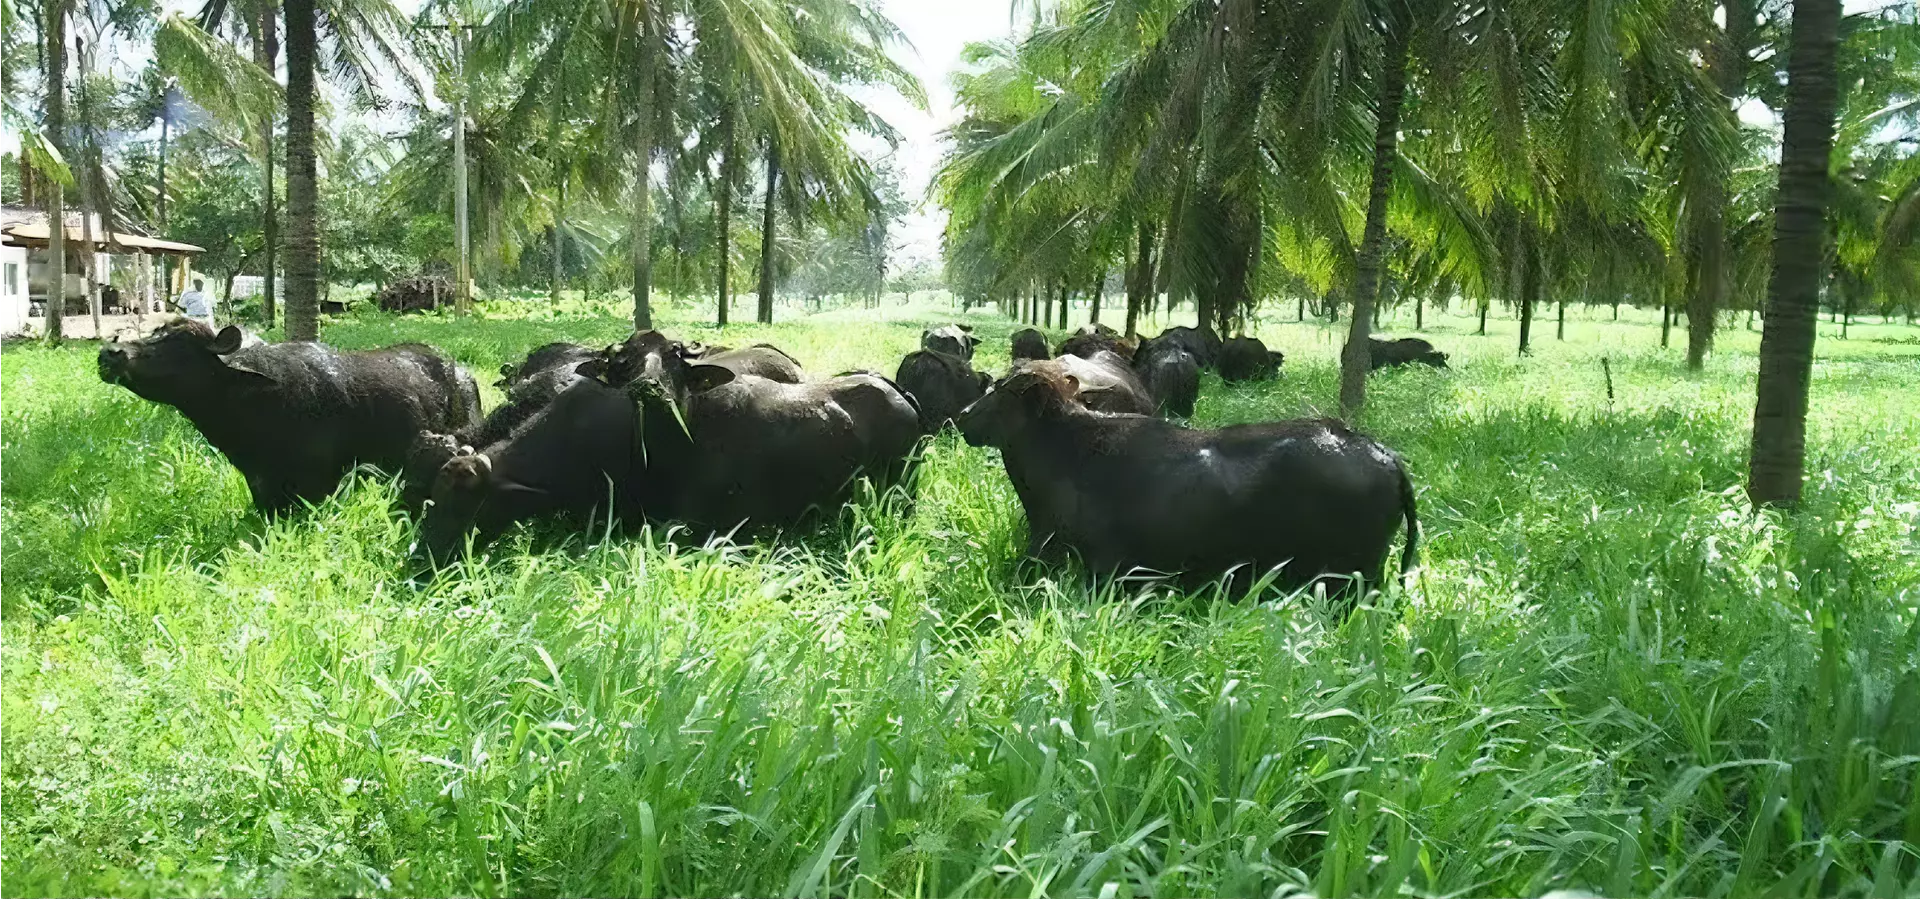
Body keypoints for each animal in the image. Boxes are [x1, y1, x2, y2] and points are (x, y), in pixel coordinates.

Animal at [101, 318, 483, 510]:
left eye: (177, 343)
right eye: (155, 332)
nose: (110, 353)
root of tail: (461, 373)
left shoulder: (321, 483)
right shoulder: (260, 482)